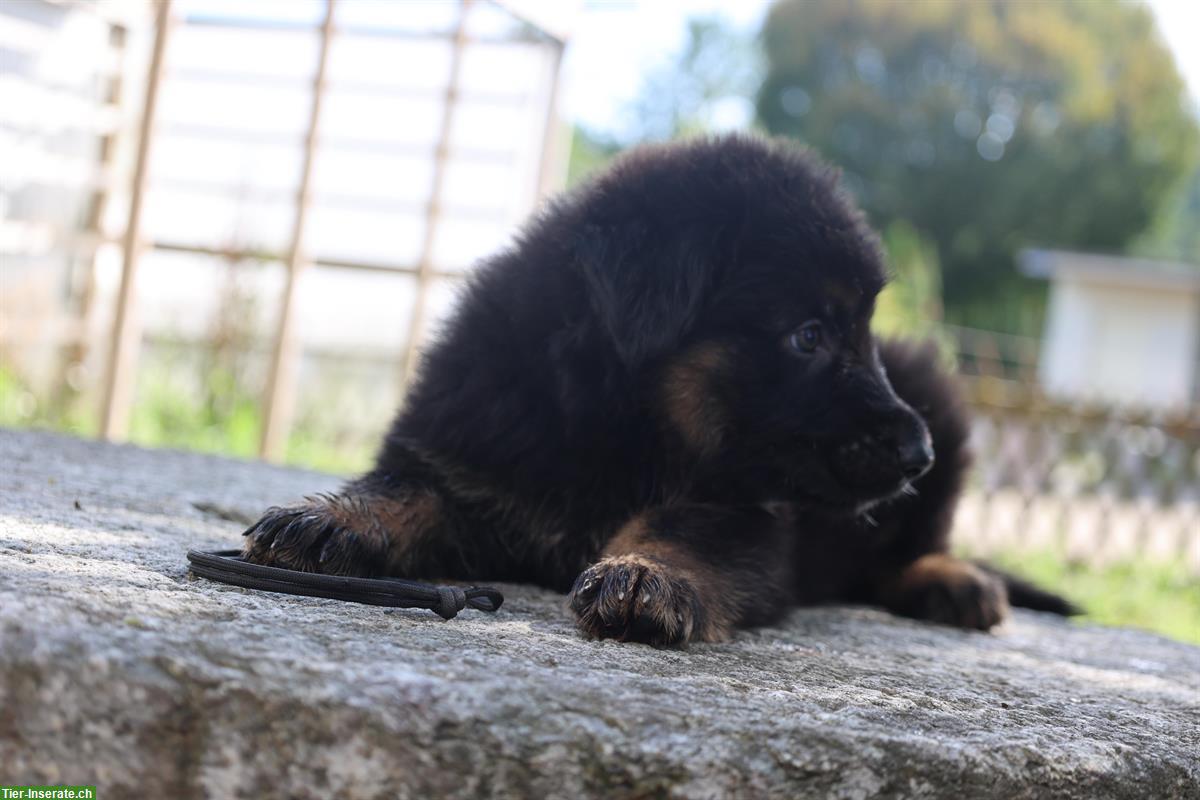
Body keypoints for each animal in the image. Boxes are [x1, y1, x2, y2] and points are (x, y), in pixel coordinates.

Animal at [238, 136, 1075, 642]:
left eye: (863, 334)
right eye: (808, 336)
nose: (916, 455)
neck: (610, 420)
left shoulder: (739, 515)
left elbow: (678, 530)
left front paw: (647, 574)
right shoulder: (460, 454)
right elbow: (409, 488)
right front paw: (335, 519)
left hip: (940, 404)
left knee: (915, 547)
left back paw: (954, 582)